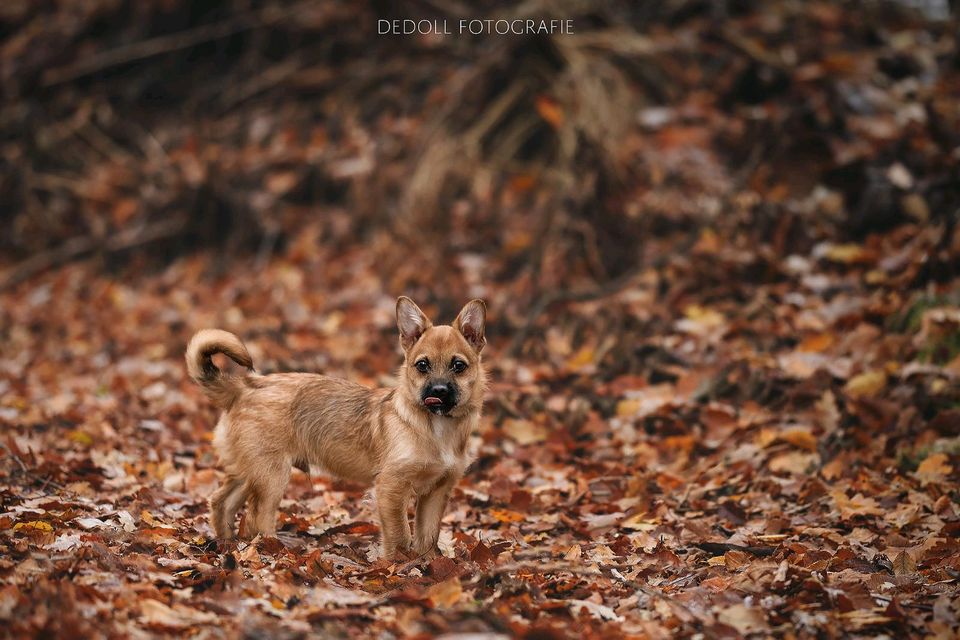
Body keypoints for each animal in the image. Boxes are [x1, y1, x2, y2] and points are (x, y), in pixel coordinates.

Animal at [186, 298, 488, 556]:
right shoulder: (391, 488)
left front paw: (425, 566)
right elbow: (400, 535)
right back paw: (272, 550)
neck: (436, 427)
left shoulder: (436, 492)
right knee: (257, 518)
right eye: (422, 365)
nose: (438, 391)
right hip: (271, 476)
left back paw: (226, 543)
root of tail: (242, 387)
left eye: (458, 366)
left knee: (221, 502)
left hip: (248, 471)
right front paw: (398, 566)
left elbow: (427, 536)